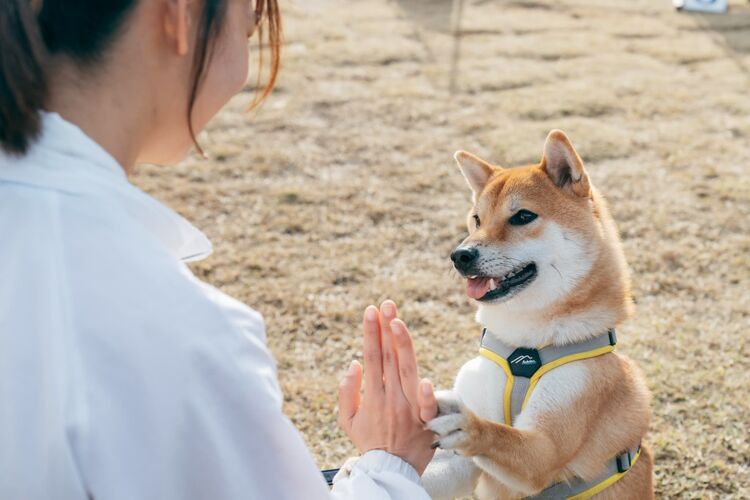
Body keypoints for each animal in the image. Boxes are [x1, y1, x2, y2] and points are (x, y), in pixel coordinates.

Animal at [426, 131, 656, 498]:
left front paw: (467, 426)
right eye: (477, 219)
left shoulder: (544, 452)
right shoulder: (469, 463)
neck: (524, 345)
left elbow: (502, 436)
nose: (460, 255)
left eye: (522, 217)